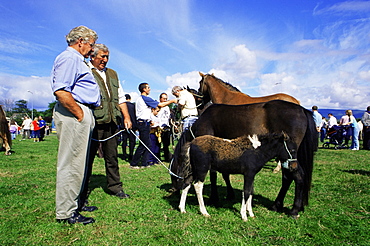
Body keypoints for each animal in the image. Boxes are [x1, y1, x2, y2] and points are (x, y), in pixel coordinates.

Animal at [171, 100, 318, 217]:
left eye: (175, 166)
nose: (174, 188)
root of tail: (303, 110)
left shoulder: (248, 173)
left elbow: (245, 189)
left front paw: (244, 210)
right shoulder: (245, 172)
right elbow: (242, 188)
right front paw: (242, 210)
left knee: (296, 177)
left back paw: (293, 210)